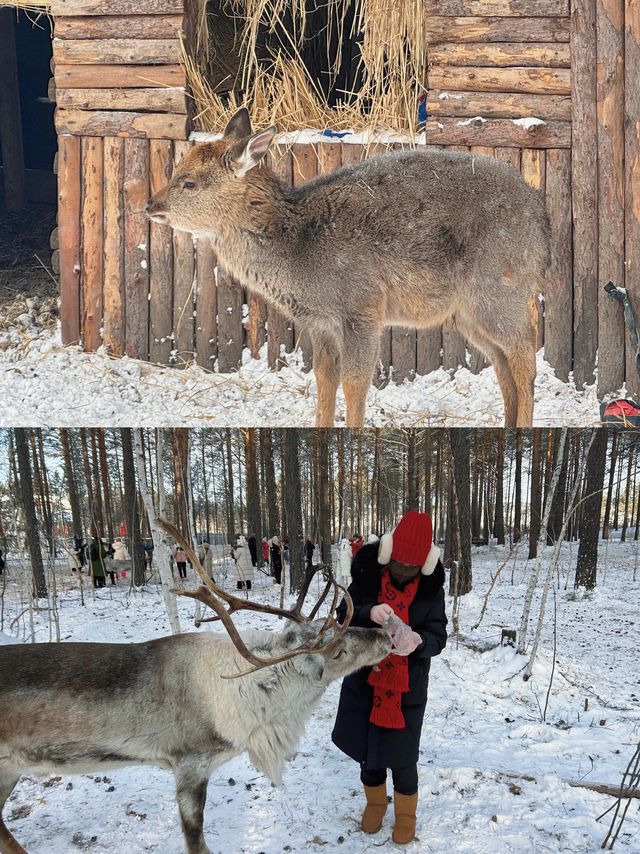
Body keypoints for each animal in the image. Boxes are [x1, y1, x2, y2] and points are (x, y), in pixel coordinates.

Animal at [146, 108, 552, 426]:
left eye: (189, 182)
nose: (151, 204)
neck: (297, 255)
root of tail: (540, 216)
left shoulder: (362, 305)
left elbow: (355, 381)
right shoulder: (318, 323)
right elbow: (324, 379)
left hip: (499, 288)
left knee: (524, 352)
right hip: (466, 312)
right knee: (501, 361)